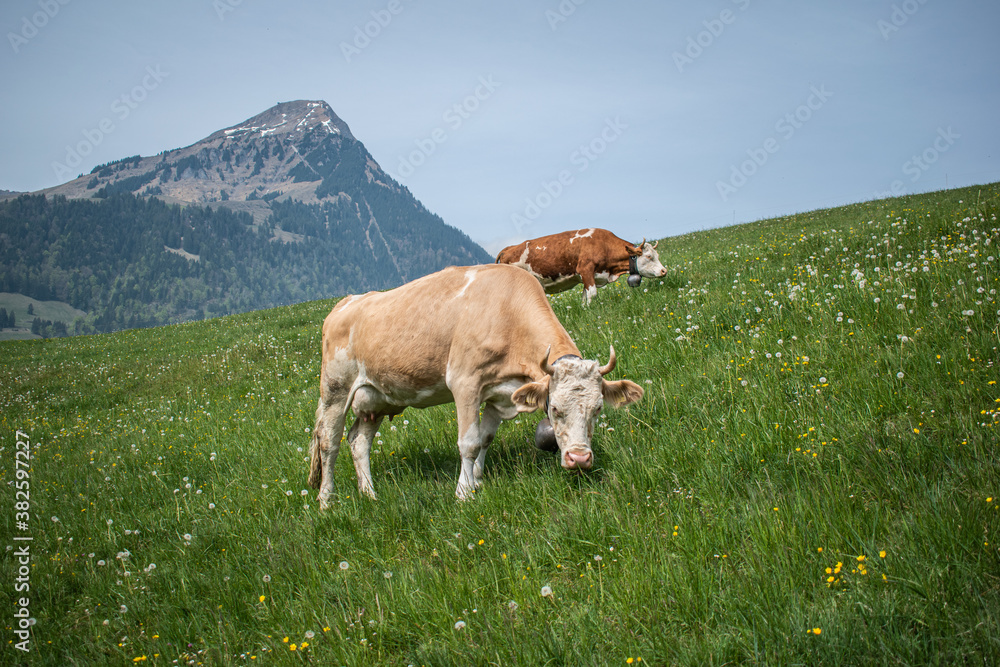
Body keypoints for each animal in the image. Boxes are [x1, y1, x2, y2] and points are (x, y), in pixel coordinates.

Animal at [308, 262, 644, 506]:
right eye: (555, 410)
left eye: (597, 409)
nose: (580, 459)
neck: (508, 313)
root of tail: (346, 302)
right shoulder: (464, 382)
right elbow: (468, 442)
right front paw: (463, 492)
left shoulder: (501, 395)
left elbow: (485, 438)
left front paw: (477, 480)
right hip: (336, 389)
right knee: (328, 441)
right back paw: (326, 500)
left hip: (376, 400)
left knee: (358, 441)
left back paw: (369, 494)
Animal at [496, 227, 668, 306]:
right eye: (648, 256)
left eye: (658, 255)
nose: (664, 271)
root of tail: (508, 248)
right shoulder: (586, 269)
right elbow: (592, 293)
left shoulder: (587, 276)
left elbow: (585, 296)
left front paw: (585, 309)